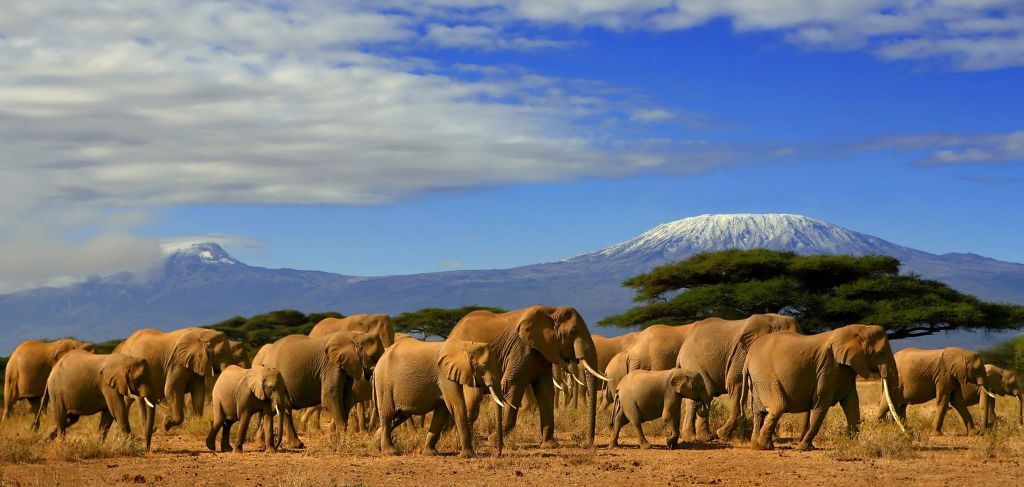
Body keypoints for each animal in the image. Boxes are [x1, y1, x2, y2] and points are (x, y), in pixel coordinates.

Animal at [251, 327, 385, 448]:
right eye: (373, 357)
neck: (354, 335)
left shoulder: (345, 367)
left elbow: (346, 399)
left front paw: (336, 441)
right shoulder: (330, 366)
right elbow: (330, 397)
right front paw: (342, 444)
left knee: (282, 408)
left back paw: (285, 445)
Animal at [374, 337, 505, 456]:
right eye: (483, 365)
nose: (498, 453)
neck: (466, 345)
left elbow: (442, 411)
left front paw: (430, 453)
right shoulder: (444, 376)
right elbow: (456, 406)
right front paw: (468, 455)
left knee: (399, 416)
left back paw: (376, 445)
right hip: (384, 383)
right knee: (388, 415)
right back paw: (390, 452)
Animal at [448, 306, 606, 446]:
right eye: (573, 331)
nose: (587, 444)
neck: (551, 310)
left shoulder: (542, 351)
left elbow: (546, 390)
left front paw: (549, 444)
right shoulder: (521, 348)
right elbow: (513, 385)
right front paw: (493, 440)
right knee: (473, 399)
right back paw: (460, 441)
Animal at [745, 325, 905, 450]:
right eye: (881, 353)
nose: (907, 435)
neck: (858, 330)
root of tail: (748, 357)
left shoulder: (845, 369)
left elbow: (852, 402)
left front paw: (854, 445)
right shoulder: (828, 366)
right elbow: (822, 402)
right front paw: (805, 448)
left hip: (757, 379)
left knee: (758, 411)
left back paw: (756, 445)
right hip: (765, 375)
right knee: (778, 407)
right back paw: (764, 446)